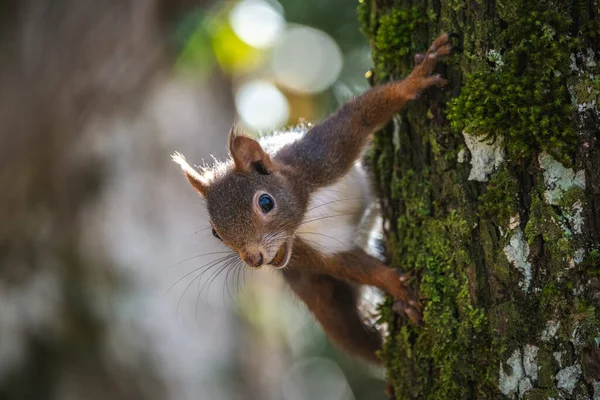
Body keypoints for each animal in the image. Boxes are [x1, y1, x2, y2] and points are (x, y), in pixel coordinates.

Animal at [170, 34, 450, 366]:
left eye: (266, 203)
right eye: (216, 232)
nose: (254, 259)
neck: (307, 209)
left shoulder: (322, 155)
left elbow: (362, 115)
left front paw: (415, 79)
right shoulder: (313, 254)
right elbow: (345, 265)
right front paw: (393, 284)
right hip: (316, 289)